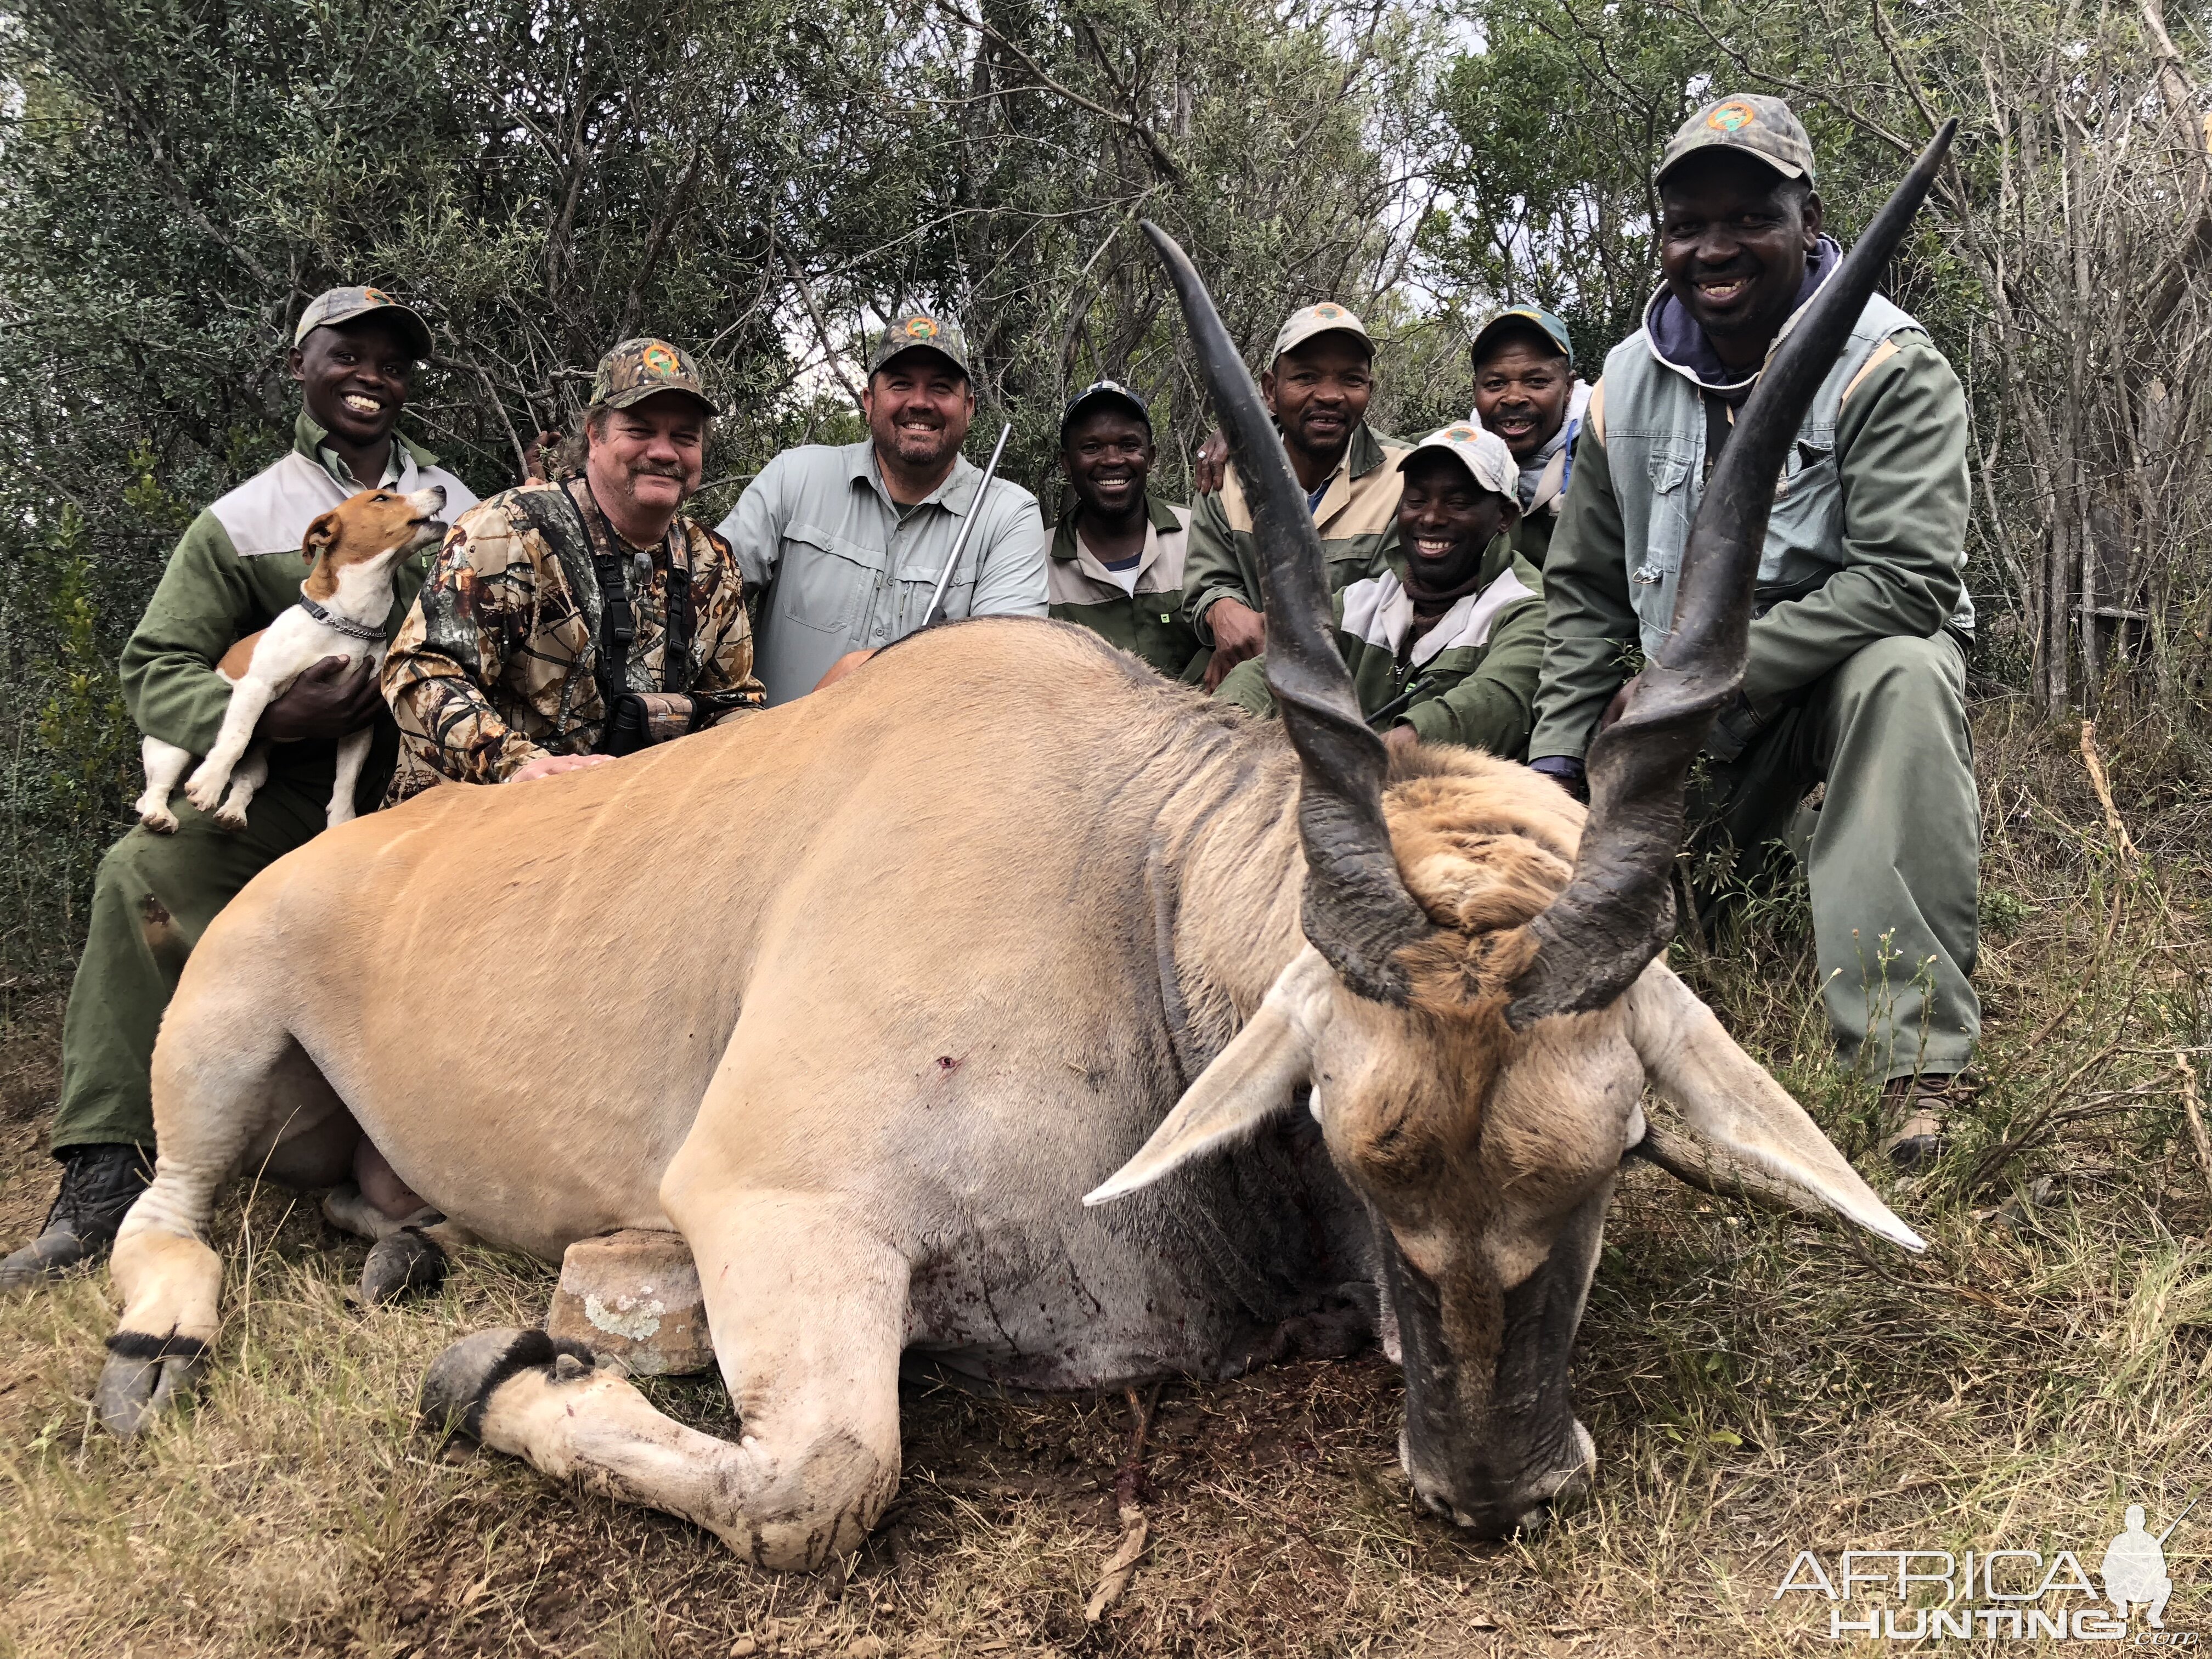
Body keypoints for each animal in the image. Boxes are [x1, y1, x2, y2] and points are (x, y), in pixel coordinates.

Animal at [91, 133, 1955, 1575]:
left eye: (1618, 1154)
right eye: (1352, 1149)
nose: (1493, 1488)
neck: (1129, 888)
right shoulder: (777, 1209)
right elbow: (822, 1483)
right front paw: (496, 1366)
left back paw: (398, 1246)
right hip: (224, 1031)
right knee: (166, 1208)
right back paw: (165, 1338)